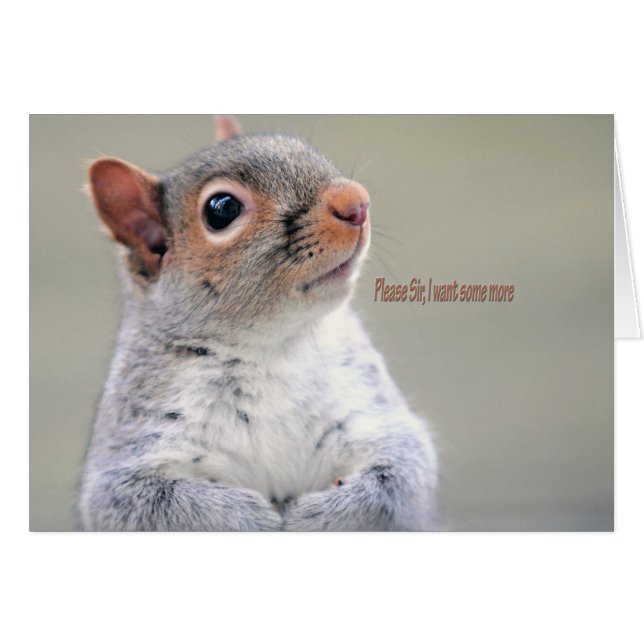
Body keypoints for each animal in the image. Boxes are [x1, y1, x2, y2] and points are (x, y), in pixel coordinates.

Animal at [78, 116, 439, 531]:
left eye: (302, 148)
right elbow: (143, 504)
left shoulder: (372, 411)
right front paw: (248, 518)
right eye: (222, 209)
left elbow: (401, 475)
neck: (272, 347)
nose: (356, 202)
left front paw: (317, 517)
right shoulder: (132, 448)